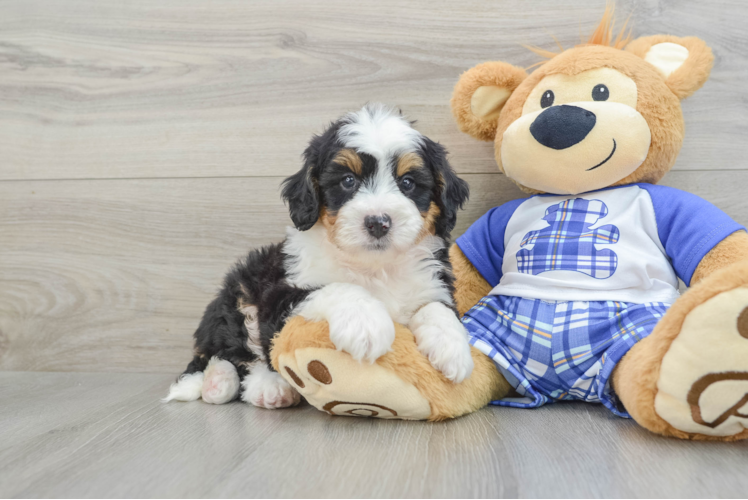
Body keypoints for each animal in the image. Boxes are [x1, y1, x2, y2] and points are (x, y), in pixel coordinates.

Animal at [167, 103, 476, 408]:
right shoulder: (280, 296)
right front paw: (366, 325)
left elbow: (436, 307)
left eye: (408, 182)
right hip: (240, 292)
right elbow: (337, 288)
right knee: (232, 354)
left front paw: (453, 348)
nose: (378, 222)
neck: (374, 267)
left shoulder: (432, 282)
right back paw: (242, 384)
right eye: (348, 180)